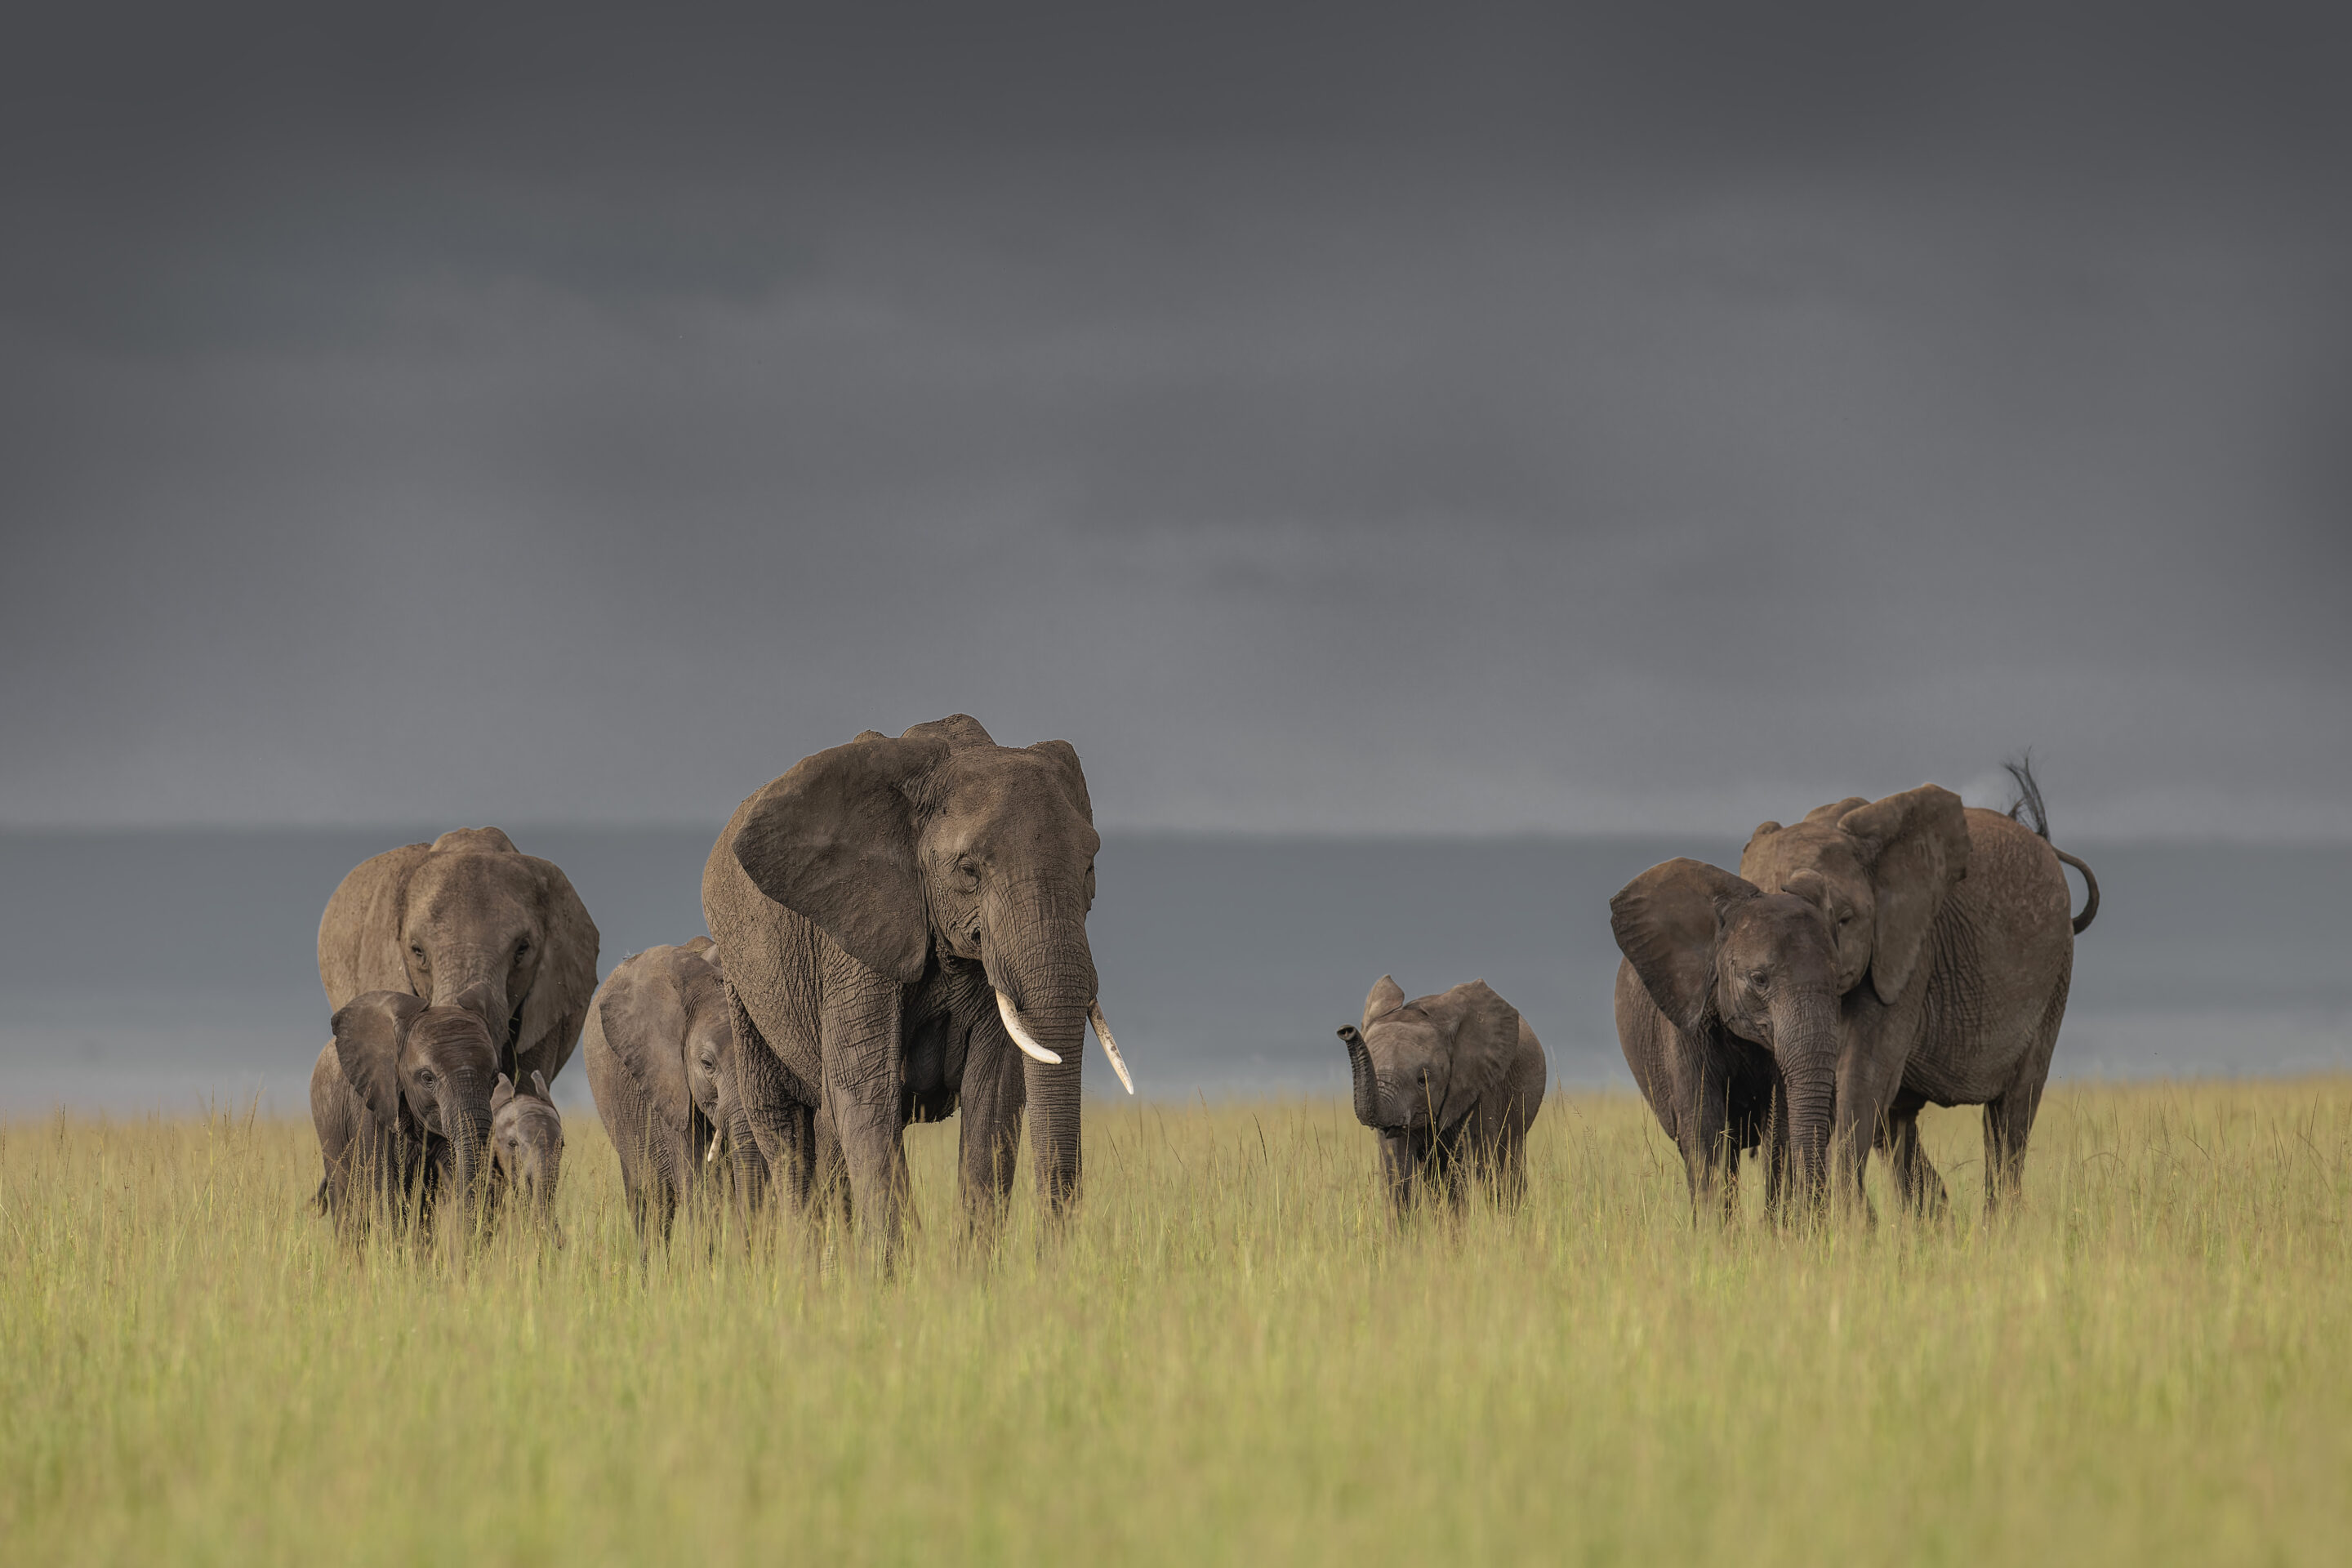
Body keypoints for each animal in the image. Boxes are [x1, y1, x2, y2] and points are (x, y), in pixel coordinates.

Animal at [1345, 982, 1543, 1213]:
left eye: (1422, 1080)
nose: (1345, 1031)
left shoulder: (1481, 1087)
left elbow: (1459, 1167)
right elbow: (1398, 1172)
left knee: (1507, 1165)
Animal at [1618, 766, 2097, 1222]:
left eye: (1845, 920)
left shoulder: (1906, 954)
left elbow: (1859, 1078)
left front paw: (1845, 1228)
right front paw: (1851, 1226)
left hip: (2056, 976)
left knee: (2009, 1117)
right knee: (1899, 1126)